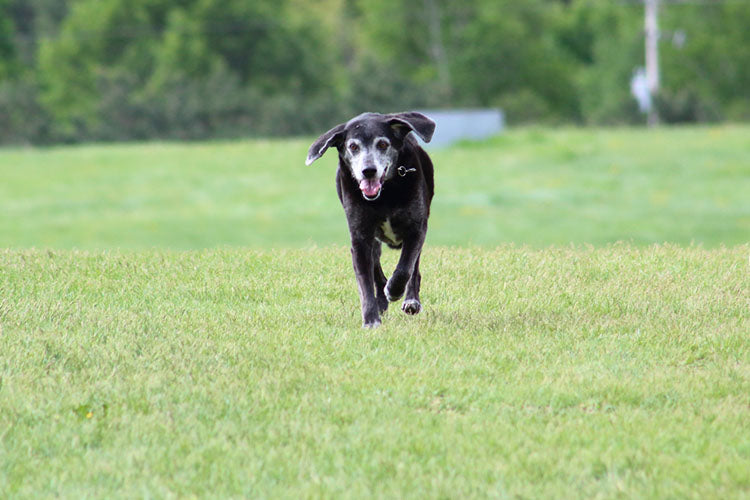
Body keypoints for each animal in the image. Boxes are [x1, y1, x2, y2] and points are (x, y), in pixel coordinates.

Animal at [304, 111, 434, 326]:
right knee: (376, 271)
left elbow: (404, 269)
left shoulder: (416, 229)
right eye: (353, 146)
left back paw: (410, 299)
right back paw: (381, 300)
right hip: (374, 242)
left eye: (382, 144)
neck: (385, 194)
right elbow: (365, 282)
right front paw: (371, 320)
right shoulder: (360, 238)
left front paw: (394, 290)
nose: (368, 170)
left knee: (413, 269)